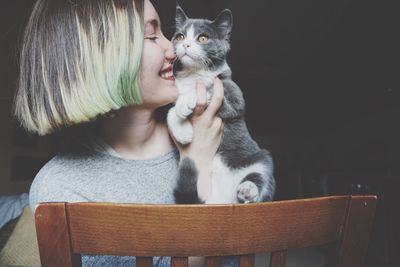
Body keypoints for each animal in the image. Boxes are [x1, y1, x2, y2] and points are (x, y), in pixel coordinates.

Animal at [166, 4, 276, 205]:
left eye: (202, 38)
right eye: (180, 36)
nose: (185, 45)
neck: (193, 74)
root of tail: (225, 200)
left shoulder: (234, 97)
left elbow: (209, 89)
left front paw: (185, 102)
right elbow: (169, 110)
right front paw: (183, 132)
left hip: (260, 158)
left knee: (261, 176)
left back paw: (248, 190)